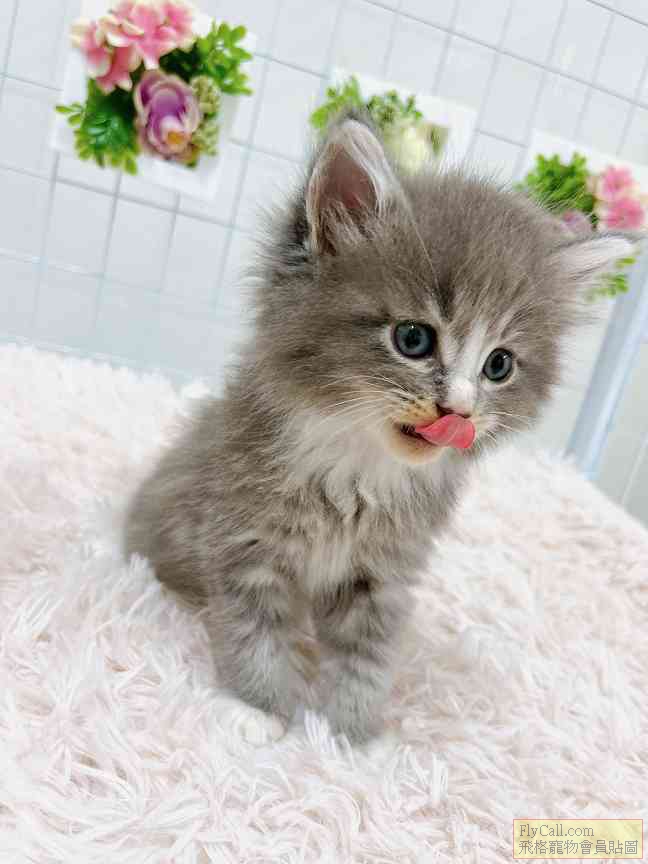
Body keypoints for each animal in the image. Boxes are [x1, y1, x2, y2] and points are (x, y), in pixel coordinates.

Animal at [124, 113, 632, 742]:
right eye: (413, 338)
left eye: (499, 365)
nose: (459, 412)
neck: (358, 468)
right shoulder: (244, 541)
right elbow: (255, 633)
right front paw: (258, 708)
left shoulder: (384, 572)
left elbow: (367, 656)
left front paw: (351, 737)